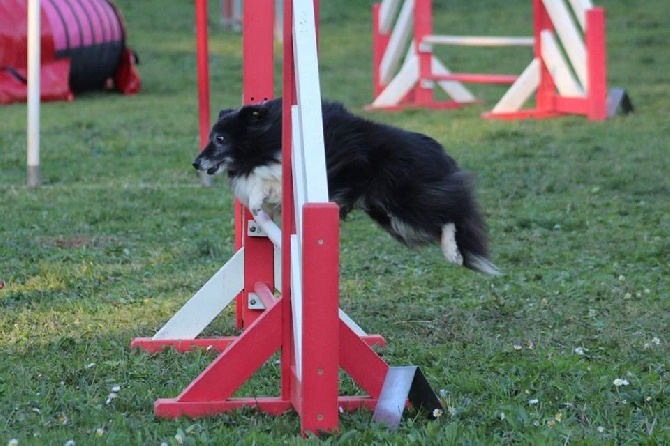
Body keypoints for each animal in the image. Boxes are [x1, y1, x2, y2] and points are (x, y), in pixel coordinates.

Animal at [192, 98, 502, 276]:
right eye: (212, 136)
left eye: (220, 138)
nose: (196, 163)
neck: (265, 141)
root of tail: (440, 151)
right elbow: (259, 199)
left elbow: (268, 188)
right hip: (391, 215)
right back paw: (454, 252)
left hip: (407, 198)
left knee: (452, 208)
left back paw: (452, 252)